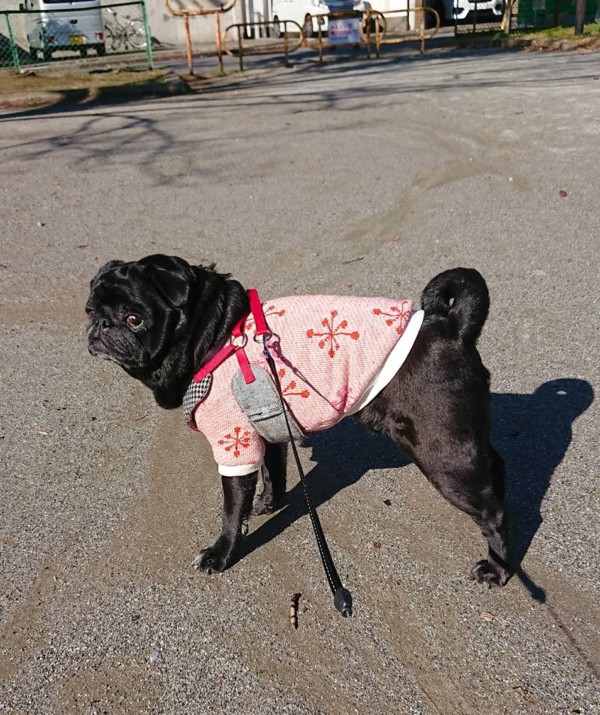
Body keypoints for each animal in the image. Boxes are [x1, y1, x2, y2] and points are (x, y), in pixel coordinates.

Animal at [86, 254, 510, 587]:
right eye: (90, 310)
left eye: (134, 318)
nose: (99, 326)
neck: (214, 335)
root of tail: (452, 327)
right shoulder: (267, 430)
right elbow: (273, 472)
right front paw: (267, 503)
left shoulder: (234, 441)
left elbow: (230, 510)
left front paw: (221, 554)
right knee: (495, 468)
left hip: (441, 451)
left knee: (491, 513)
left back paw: (498, 568)